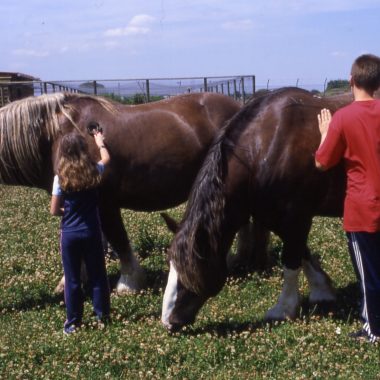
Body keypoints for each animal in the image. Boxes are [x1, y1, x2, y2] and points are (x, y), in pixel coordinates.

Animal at [160, 87, 360, 332]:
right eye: (170, 264)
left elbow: (291, 261)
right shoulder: (277, 218)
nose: (168, 322)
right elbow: (302, 254)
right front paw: (322, 290)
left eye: (192, 268)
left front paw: (284, 309)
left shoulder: (296, 217)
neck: (266, 147)